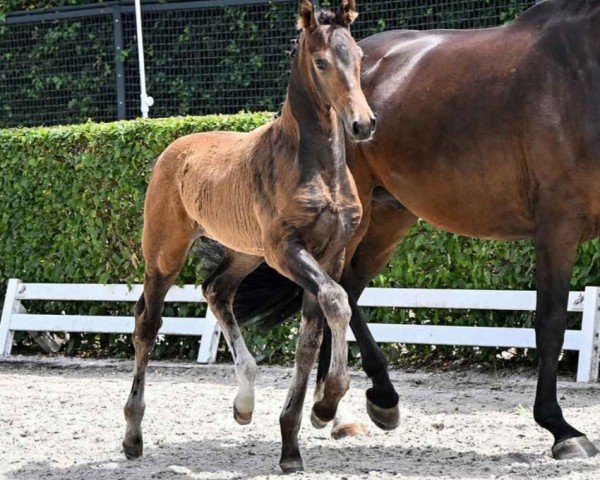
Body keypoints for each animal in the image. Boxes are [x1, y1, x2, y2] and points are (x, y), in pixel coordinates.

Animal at [122, 0, 376, 472]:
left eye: (359, 57)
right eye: (320, 61)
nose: (363, 124)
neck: (317, 167)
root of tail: (174, 149)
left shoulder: (330, 254)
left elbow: (312, 333)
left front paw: (294, 442)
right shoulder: (285, 251)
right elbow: (336, 302)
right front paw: (326, 405)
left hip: (244, 252)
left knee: (216, 290)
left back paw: (244, 404)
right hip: (165, 253)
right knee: (147, 323)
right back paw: (132, 435)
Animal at [231, 0, 600, 464]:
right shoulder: (558, 224)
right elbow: (550, 323)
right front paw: (561, 429)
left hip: (389, 219)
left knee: (344, 291)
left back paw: (338, 406)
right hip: (356, 217)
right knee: (335, 292)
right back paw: (361, 401)